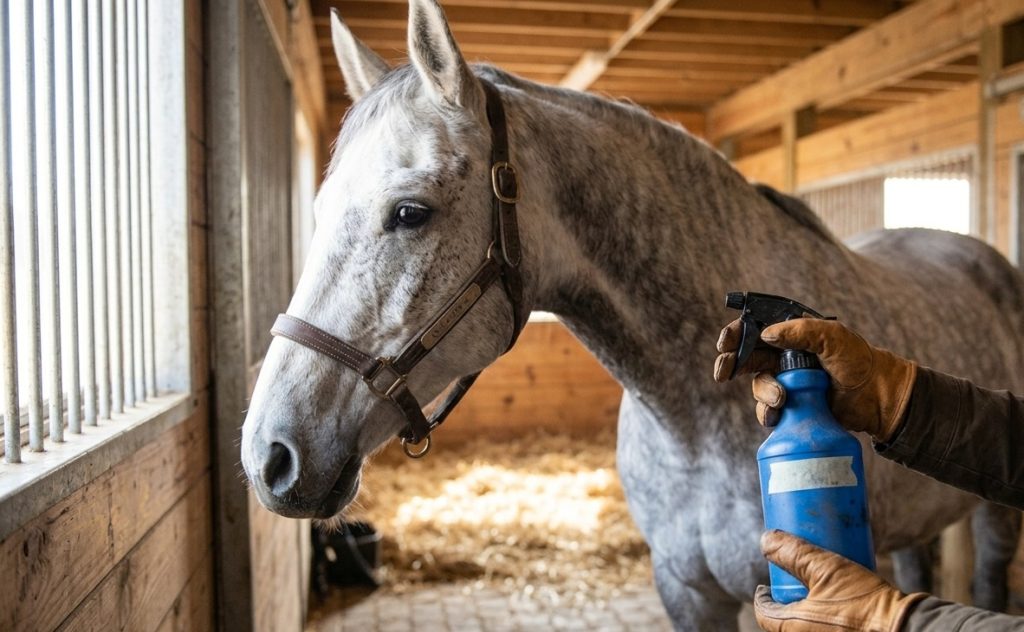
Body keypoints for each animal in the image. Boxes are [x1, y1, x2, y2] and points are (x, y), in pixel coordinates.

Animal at [240, 1, 1024, 629]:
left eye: (410, 212)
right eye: (318, 210)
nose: (268, 456)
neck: (693, 426)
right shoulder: (685, 590)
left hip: (995, 516)